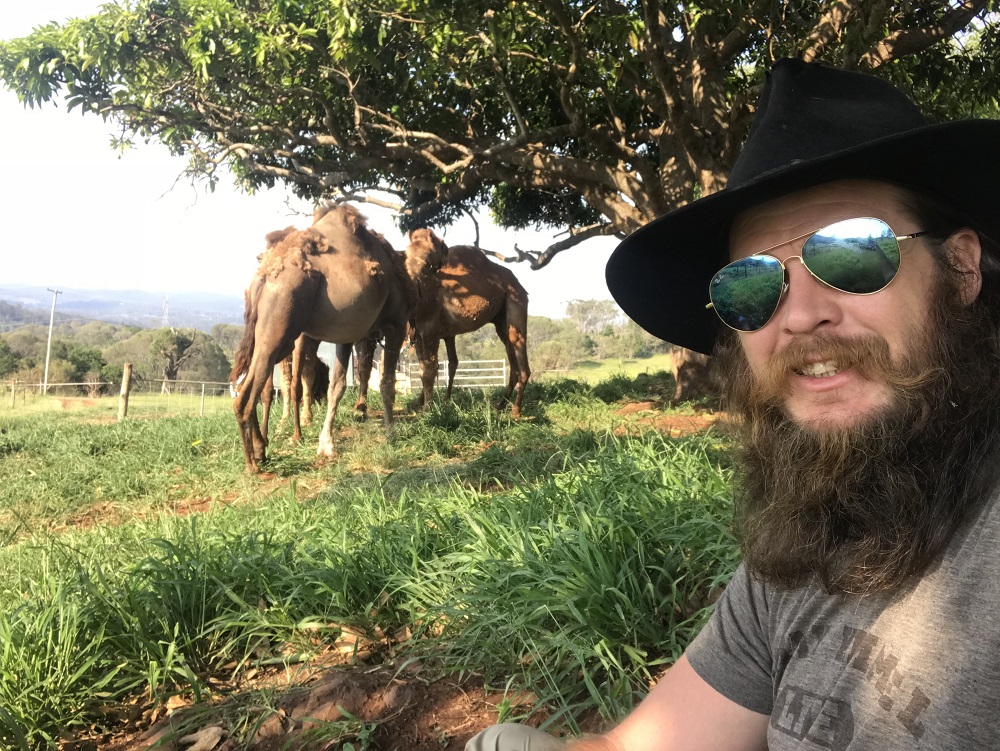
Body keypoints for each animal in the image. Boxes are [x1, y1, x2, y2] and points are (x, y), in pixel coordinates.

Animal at [230, 204, 410, 476]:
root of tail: (262, 276)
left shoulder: (347, 335)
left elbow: (337, 385)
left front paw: (326, 445)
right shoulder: (396, 322)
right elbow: (386, 383)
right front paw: (391, 435)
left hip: (274, 335)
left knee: (252, 384)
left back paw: (261, 450)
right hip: (281, 328)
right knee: (247, 395)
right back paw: (253, 464)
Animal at [404, 229, 532, 418]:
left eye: (430, 255)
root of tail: (518, 284)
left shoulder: (430, 331)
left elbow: (429, 370)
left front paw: (428, 411)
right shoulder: (419, 333)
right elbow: (423, 369)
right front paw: (421, 405)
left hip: (516, 302)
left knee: (522, 359)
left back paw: (515, 411)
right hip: (501, 320)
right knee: (511, 355)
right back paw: (500, 405)